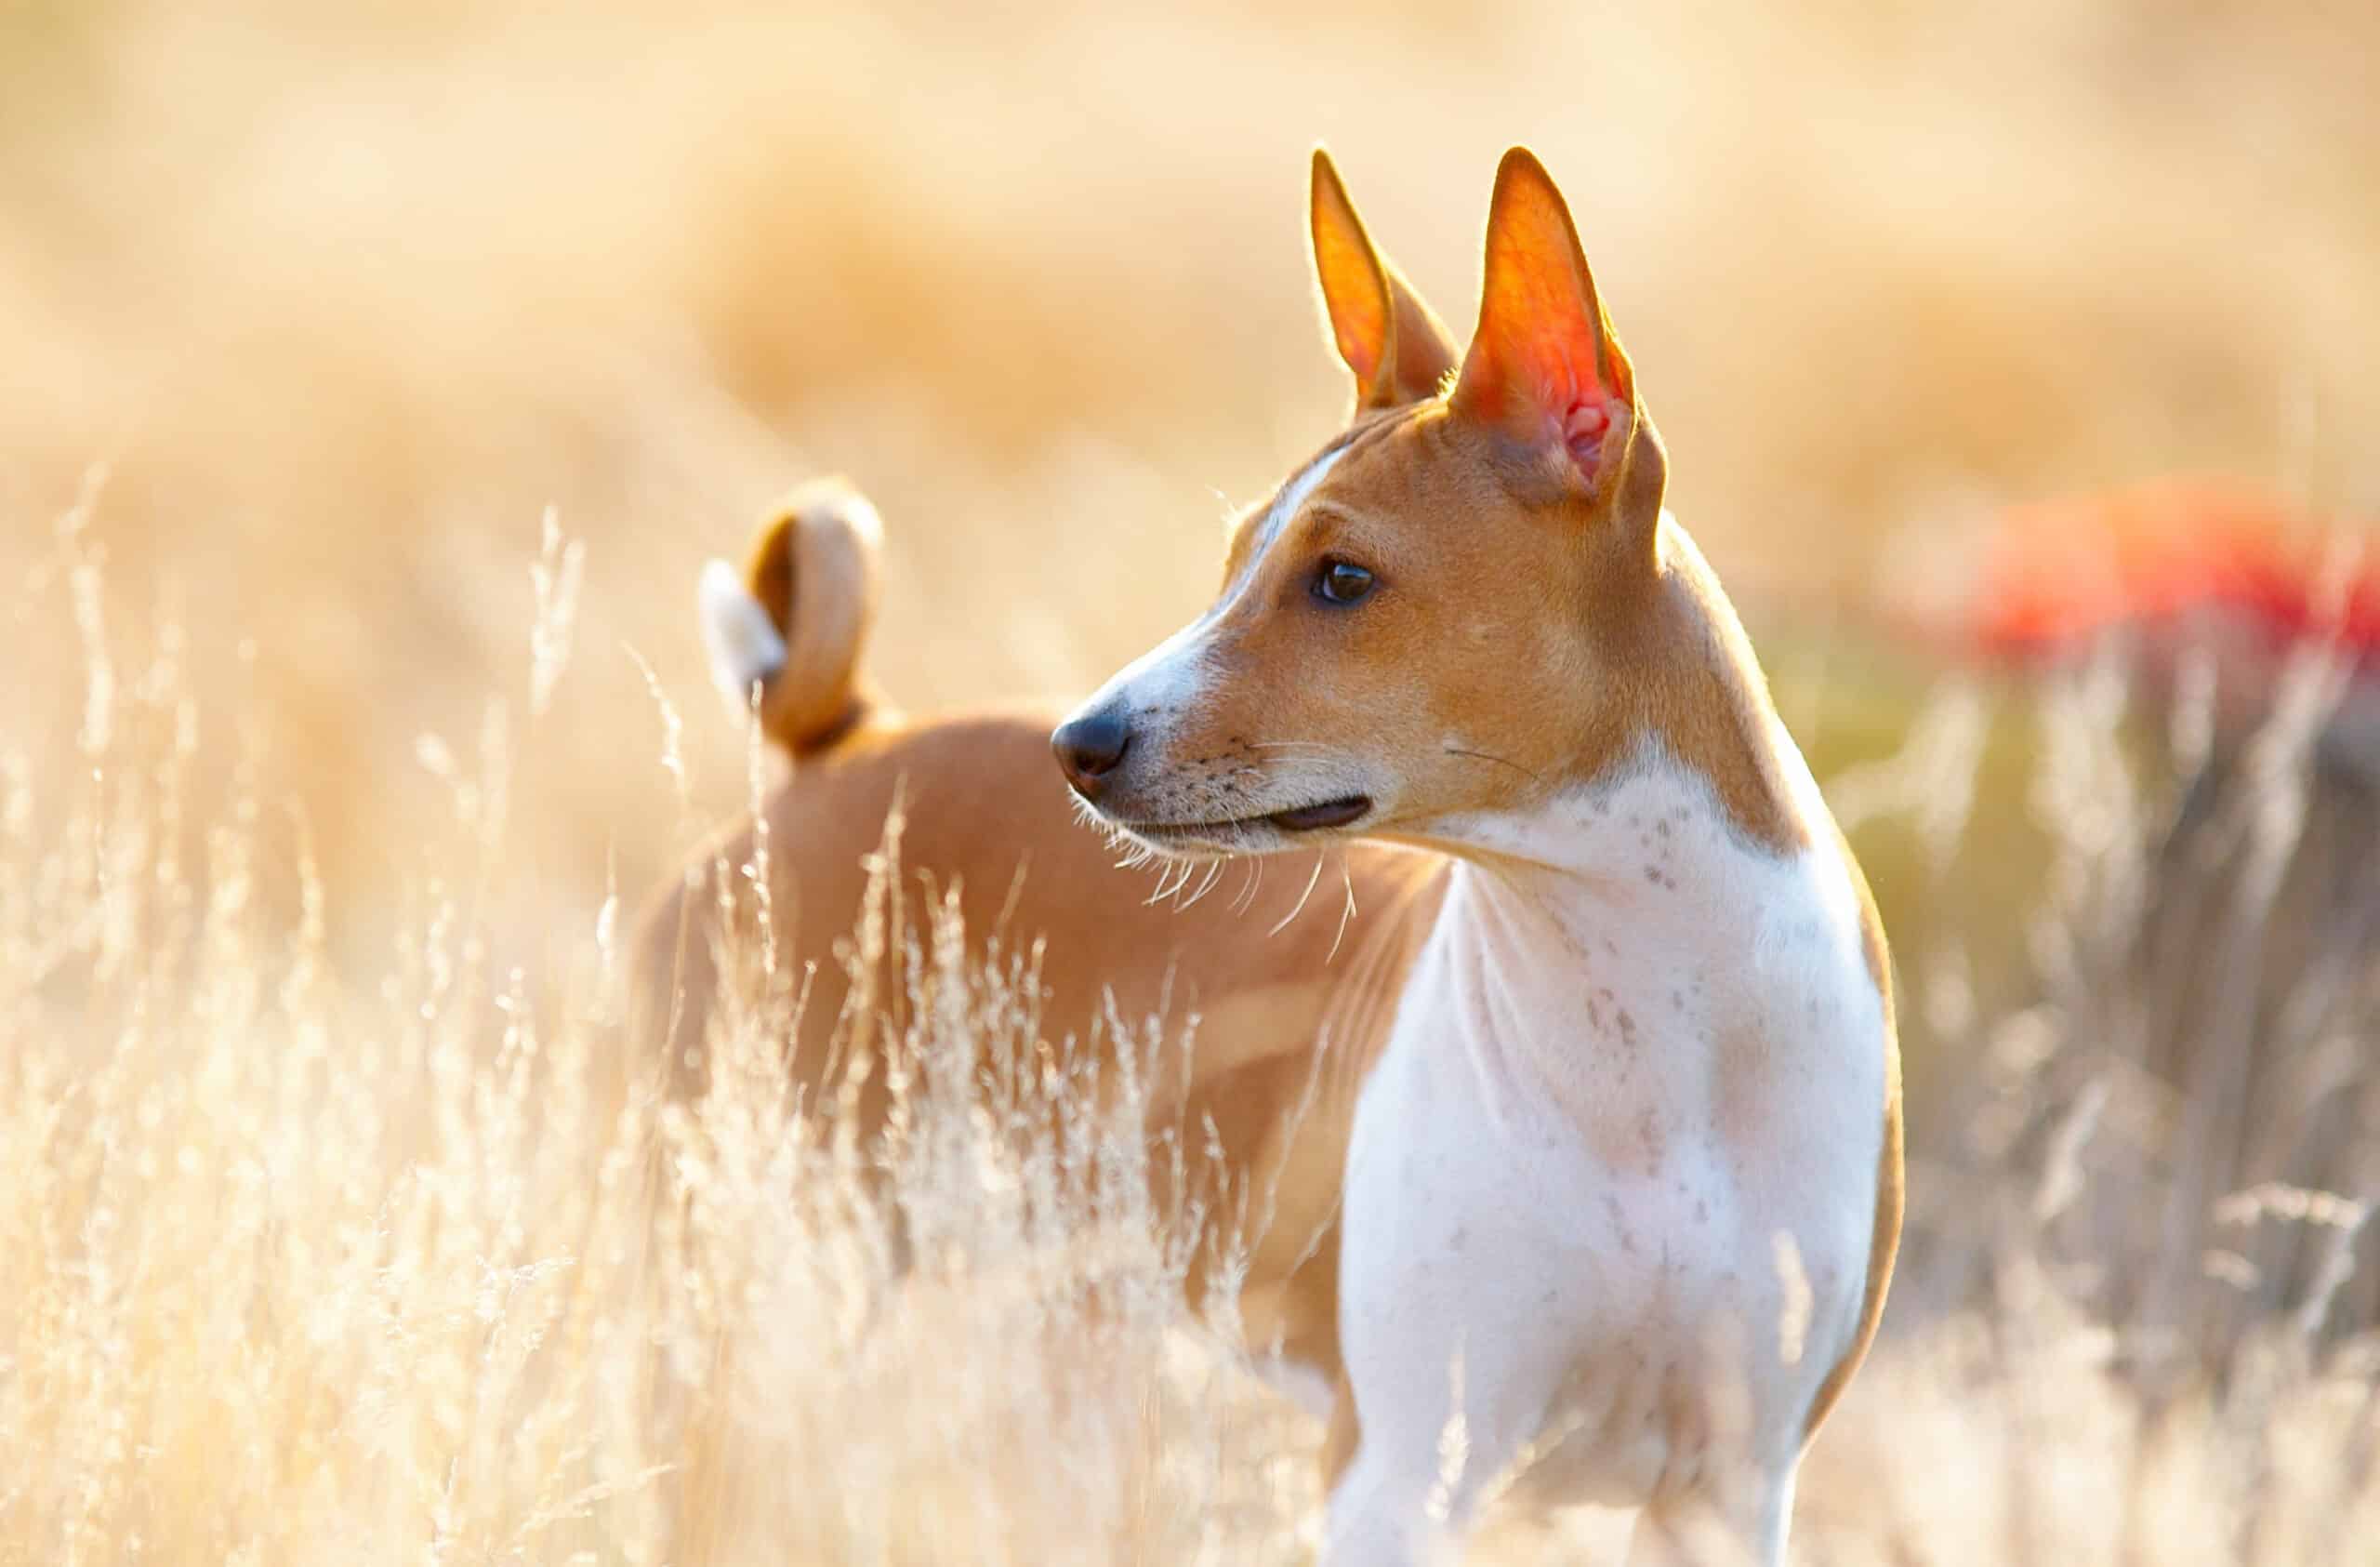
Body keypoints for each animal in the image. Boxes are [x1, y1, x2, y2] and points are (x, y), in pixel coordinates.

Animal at [632, 149, 1894, 1561]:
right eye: (1237, 558)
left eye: (1341, 579)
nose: (1079, 742)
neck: (1647, 1040)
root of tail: (843, 742)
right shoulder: (1398, 1470)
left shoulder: (1728, 1487)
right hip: (759, 1274)